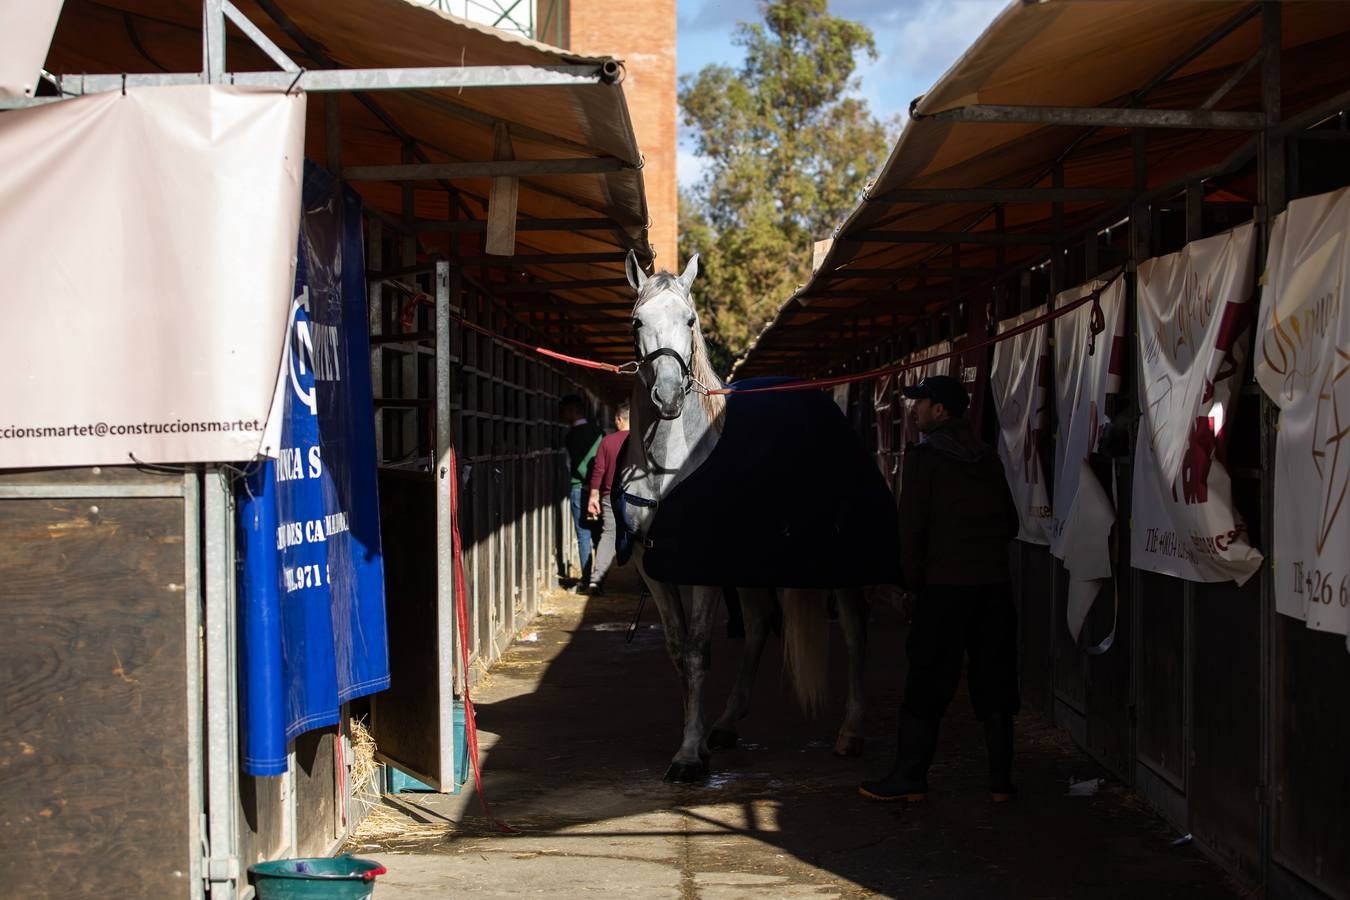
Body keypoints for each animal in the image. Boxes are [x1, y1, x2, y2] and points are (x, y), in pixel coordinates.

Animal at [615, 252, 864, 782]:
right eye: (636, 322)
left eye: (690, 320)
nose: (669, 395)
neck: (670, 470)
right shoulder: (654, 569)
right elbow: (677, 650)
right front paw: (697, 740)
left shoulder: (704, 568)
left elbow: (697, 651)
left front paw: (688, 756)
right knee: (760, 623)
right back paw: (727, 724)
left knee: (855, 626)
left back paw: (851, 733)